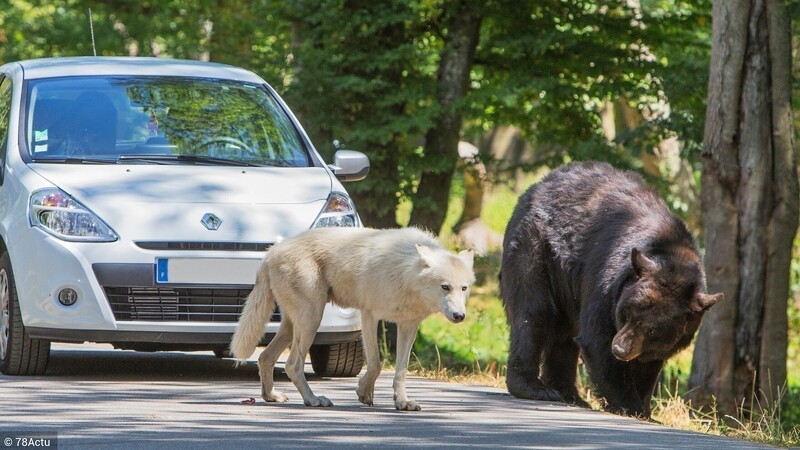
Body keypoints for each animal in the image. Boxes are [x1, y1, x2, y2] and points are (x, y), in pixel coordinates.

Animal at [230, 227, 475, 411]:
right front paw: (364, 393)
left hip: (293, 325)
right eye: (445, 287)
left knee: (265, 358)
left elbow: (401, 371)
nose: (460, 316)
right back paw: (313, 400)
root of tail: (271, 252)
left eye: (463, 288)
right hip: (312, 320)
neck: (405, 272)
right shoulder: (369, 316)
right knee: (292, 365)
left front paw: (403, 402)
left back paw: (271, 396)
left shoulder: (408, 326)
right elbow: (375, 364)